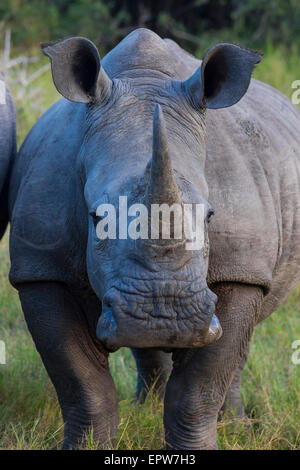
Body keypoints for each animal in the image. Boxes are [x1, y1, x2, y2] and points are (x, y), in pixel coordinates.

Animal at [7, 28, 300, 448]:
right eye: (96, 217)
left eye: (211, 216)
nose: (162, 317)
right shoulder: (42, 270)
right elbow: (82, 382)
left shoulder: (243, 270)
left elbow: (201, 385)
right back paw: (145, 408)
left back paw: (237, 428)